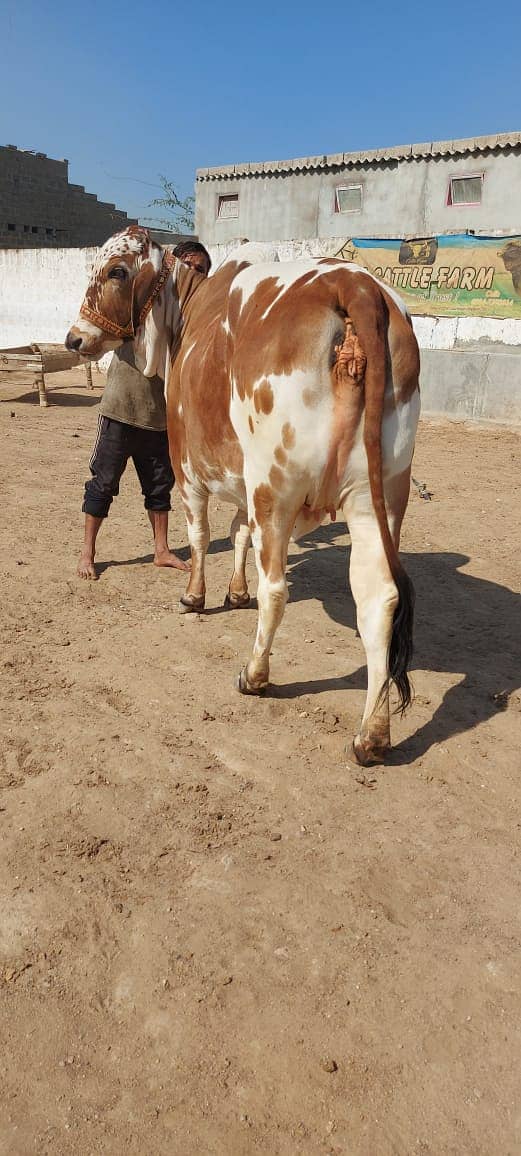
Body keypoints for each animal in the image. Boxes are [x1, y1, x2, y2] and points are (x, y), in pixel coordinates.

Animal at [66, 225, 425, 767]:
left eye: (116, 270)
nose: (75, 337)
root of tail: (356, 285)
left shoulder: (189, 467)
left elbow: (200, 535)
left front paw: (195, 597)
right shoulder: (240, 474)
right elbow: (237, 532)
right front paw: (235, 592)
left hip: (275, 487)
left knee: (276, 590)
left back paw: (255, 675)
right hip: (378, 496)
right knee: (378, 599)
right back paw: (372, 734)